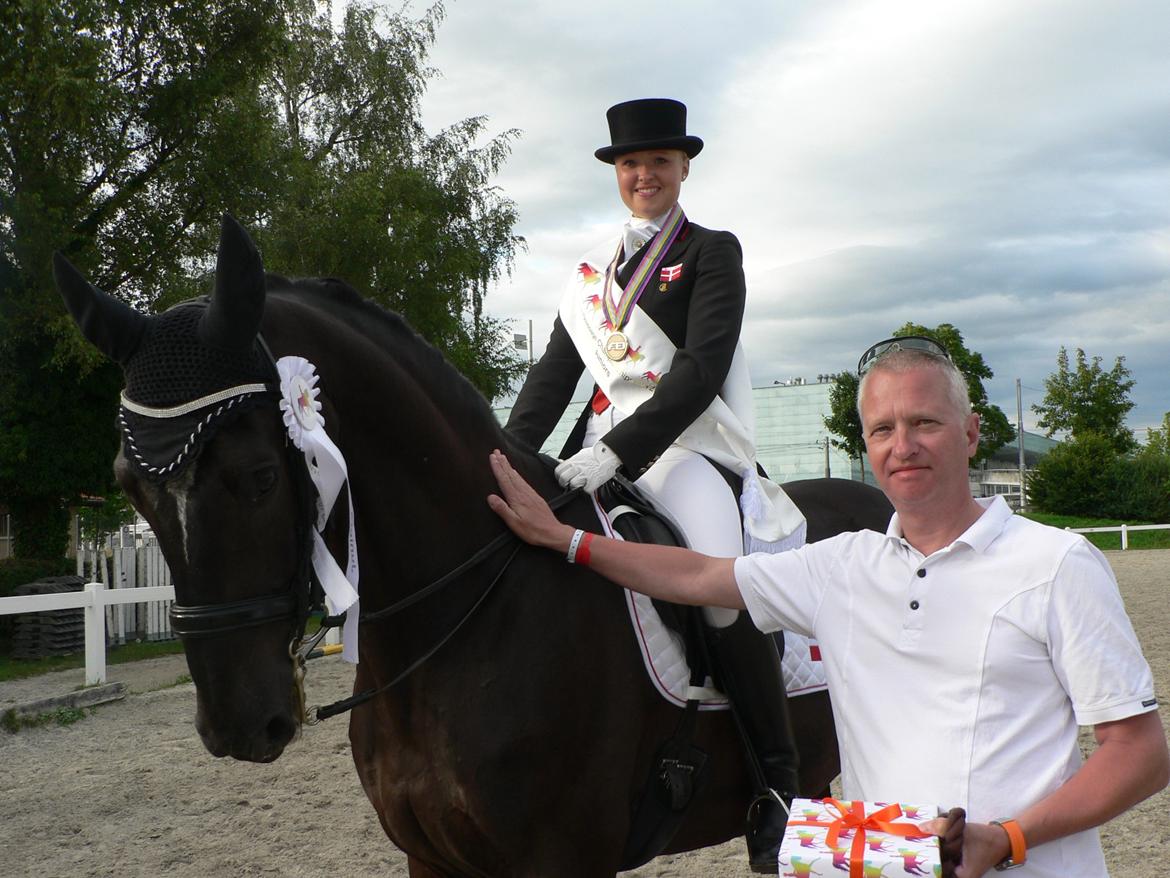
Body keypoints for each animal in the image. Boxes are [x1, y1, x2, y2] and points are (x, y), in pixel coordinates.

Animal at [54, 218, 889, 878]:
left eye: (259, 476)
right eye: (129, 485)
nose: (237, 725)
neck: (470, 617)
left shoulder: (564, 860)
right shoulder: (431, 859)